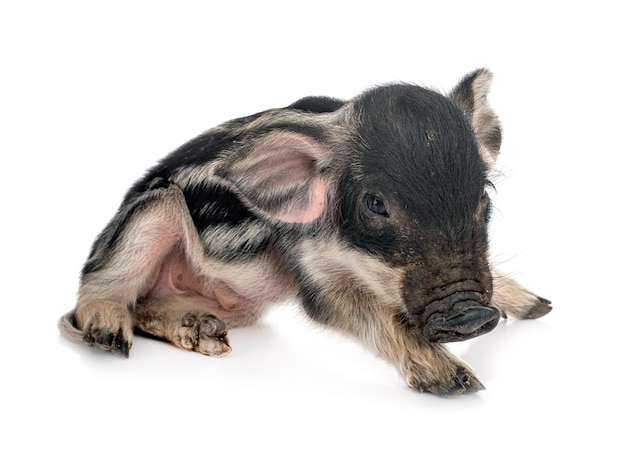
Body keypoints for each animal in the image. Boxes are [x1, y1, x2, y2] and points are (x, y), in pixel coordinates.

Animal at [57, 68, 544, 396]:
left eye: (483, 196)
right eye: (376, 204)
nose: (471, 315)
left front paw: (540, 308)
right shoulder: (311, 271)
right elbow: (369, 314)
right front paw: (458, 383)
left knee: (147, 307)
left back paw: (209, 334)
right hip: (148, 217)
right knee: (100, 295)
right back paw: (111, 337)